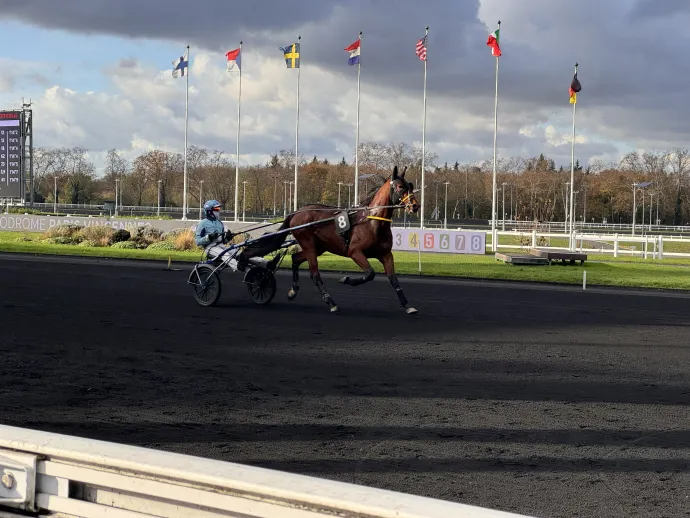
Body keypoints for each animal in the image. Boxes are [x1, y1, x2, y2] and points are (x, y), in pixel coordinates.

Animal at [268, 165, 420, 314]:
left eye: (410, 186)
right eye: (400, 186)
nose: (415, 206)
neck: (372, 222)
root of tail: (297, 212)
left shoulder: (386, 254)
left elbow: (394, 279)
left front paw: (408, 305)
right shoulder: (355, 251)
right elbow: (370, 274)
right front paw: (346, 279)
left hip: (319, 247)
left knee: (295, 258)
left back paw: (293, 291)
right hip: (308, 244)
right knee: (315, 274)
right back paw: (331, 302)